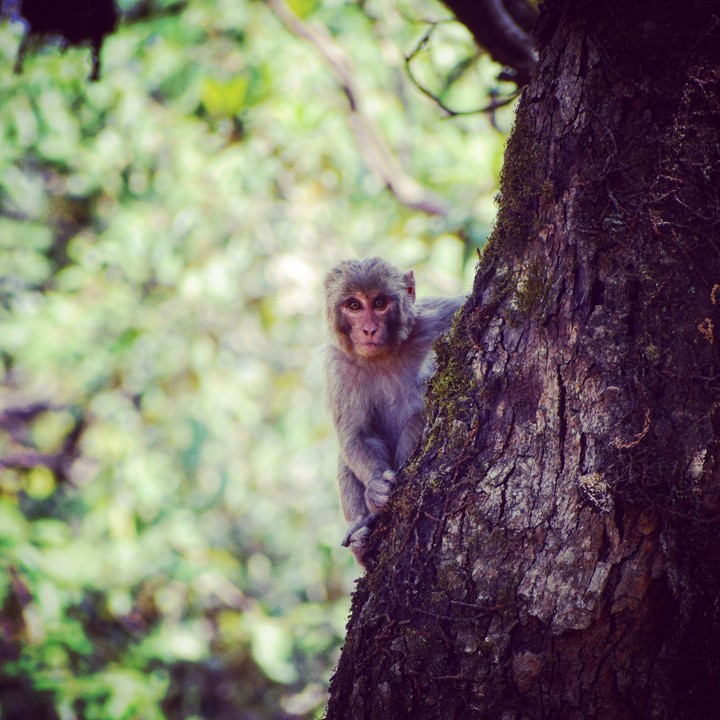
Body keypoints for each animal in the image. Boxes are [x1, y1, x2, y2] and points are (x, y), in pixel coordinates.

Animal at [324, 257, 463, 565]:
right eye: (354, 305)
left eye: (379, 303)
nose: (369, 329)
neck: (383, 354)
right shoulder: (339, 367)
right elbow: (358, 436)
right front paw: (376, 488)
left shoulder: (435, 316)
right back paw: (362, 540)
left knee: (416, 419)